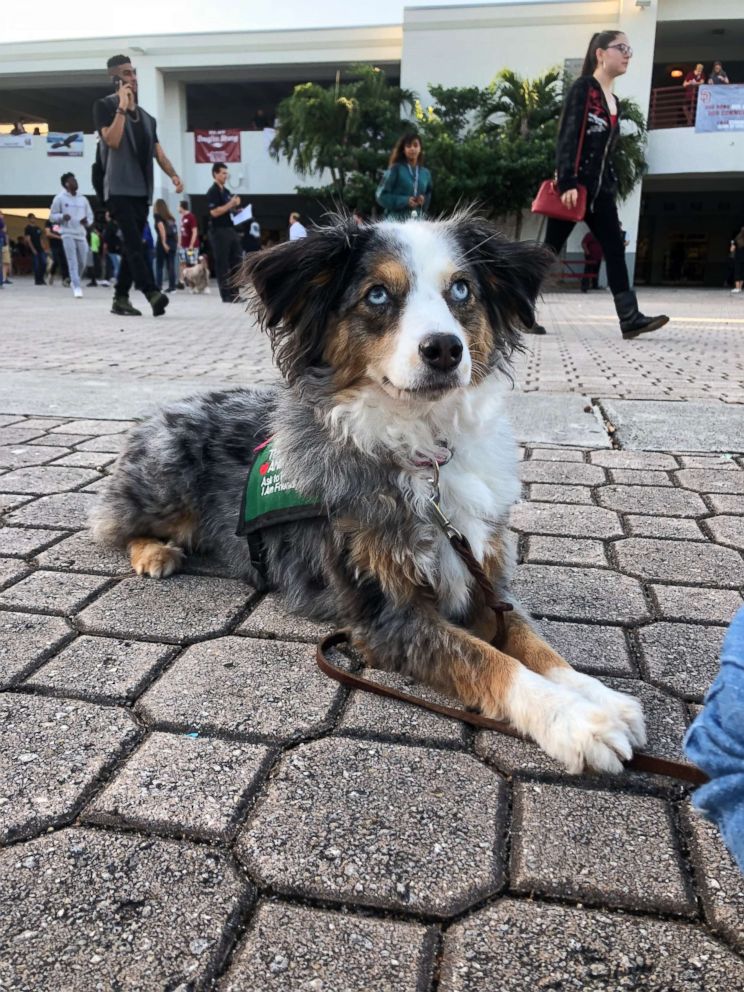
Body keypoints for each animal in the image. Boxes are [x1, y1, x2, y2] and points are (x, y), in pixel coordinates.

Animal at [93, 215, 644, 776]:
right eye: (377, 294)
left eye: (461, 290)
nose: (444, 348)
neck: (423, 452)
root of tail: (169, 405)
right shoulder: (387, 616)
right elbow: (492, 662)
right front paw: (577, 722)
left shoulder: (483, 577)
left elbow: (533, 643)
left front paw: (599, 696)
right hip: (166, 475)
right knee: (110, 522)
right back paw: (154, 553)